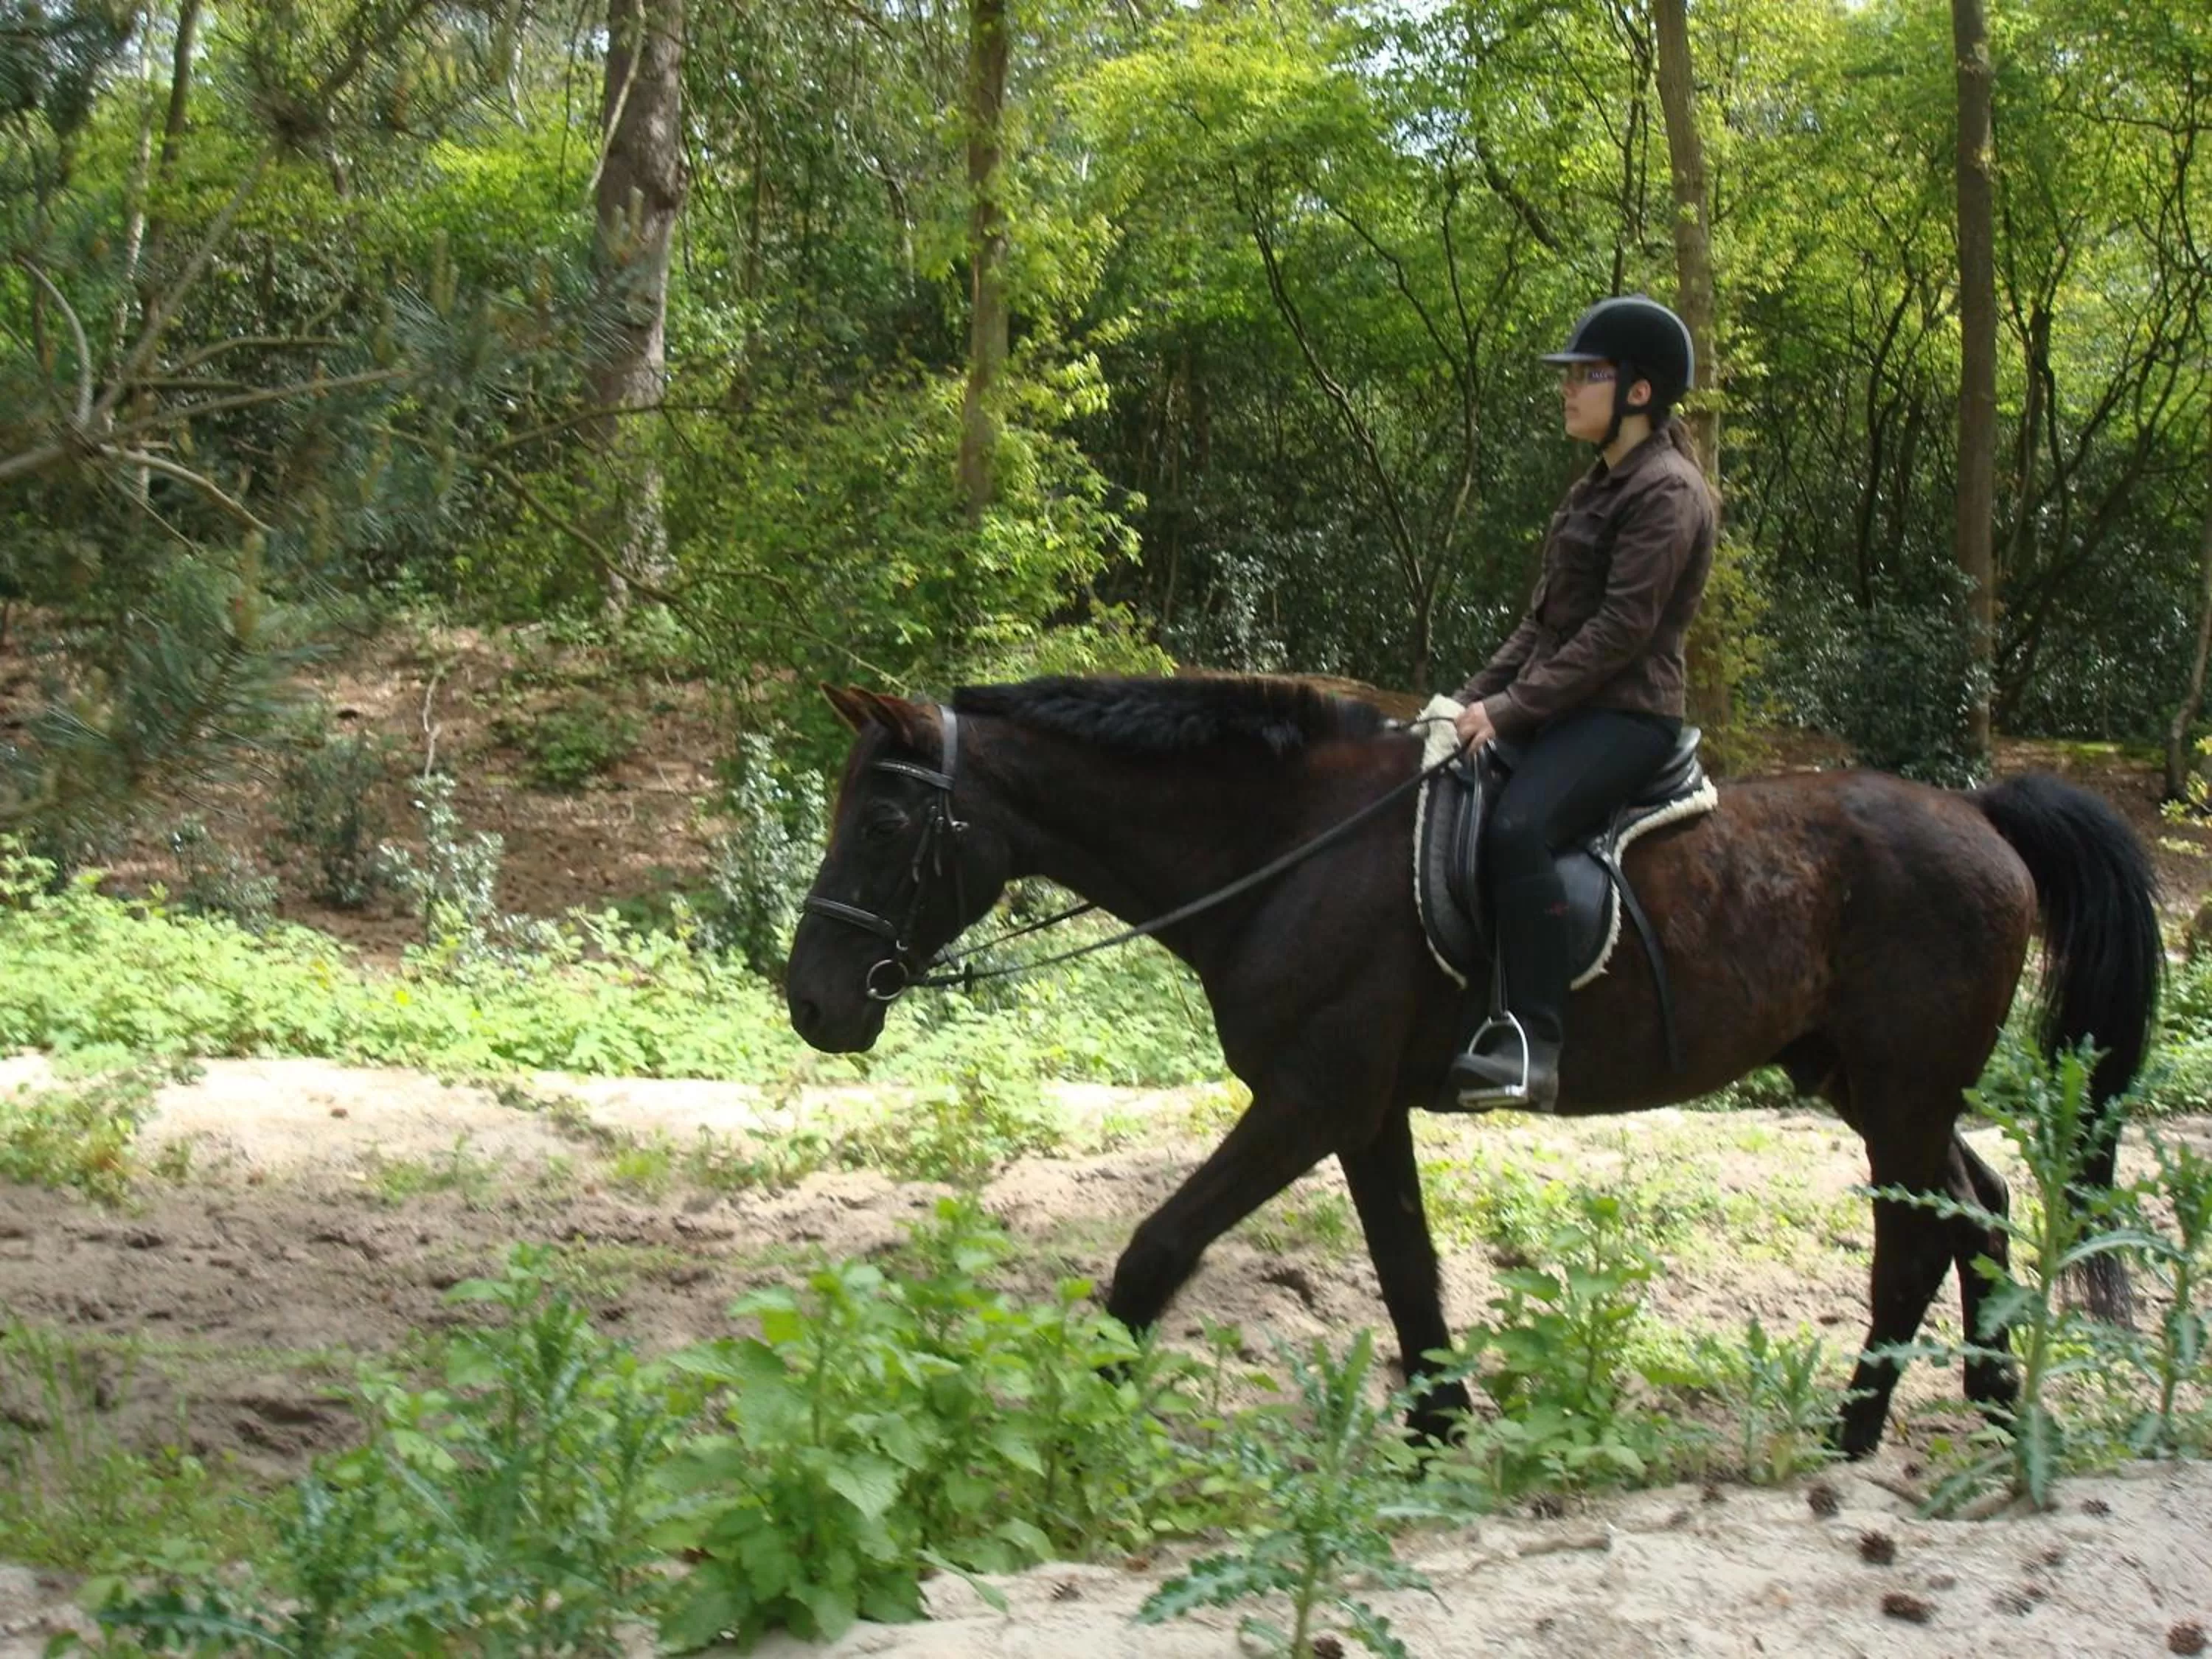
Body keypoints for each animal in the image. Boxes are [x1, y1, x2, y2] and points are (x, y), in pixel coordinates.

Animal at [784, 675, 2161, 1458]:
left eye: (888, 819)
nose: (812, 1002)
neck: (1287, 848)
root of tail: (1981, 814)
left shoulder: (1305, 1100)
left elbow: (1156, 1250)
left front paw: (1082, 1428)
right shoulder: (1360, 1110)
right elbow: (1408, 1272)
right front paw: (1440, 1437)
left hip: (1900, 1087)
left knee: (1918, 1236)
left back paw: (1855, 1436)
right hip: (1862, 1081)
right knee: (1976, 1206)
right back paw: (1988, 1411)